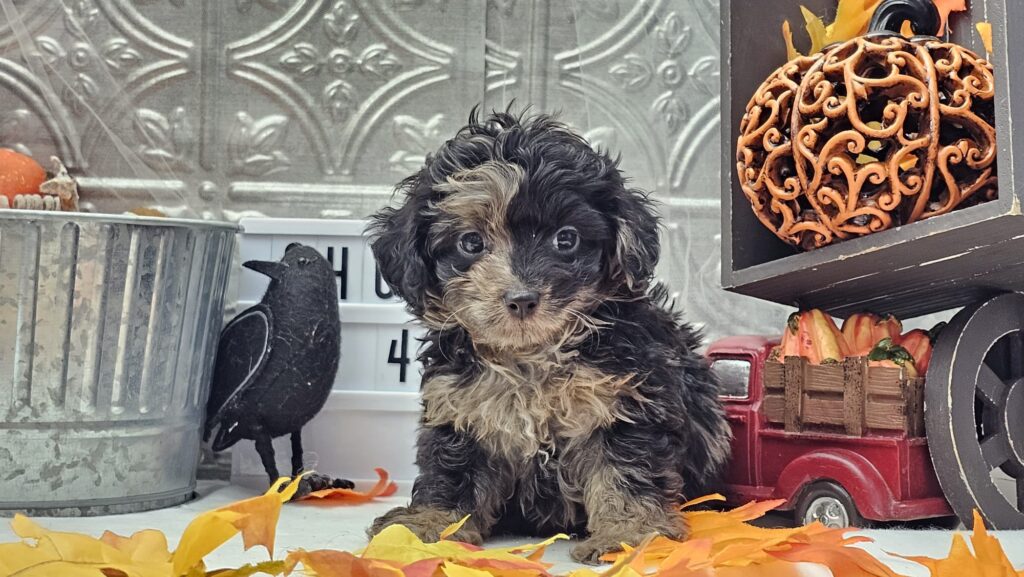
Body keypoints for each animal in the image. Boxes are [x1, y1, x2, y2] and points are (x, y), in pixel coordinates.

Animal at [364, 109, 733, 565]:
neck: (532, 355)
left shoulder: (626, 400)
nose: (521, 298)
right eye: (471, 242)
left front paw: (627, 533)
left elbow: (625, 469)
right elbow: (452, 469)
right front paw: (428, 525)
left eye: (566, 238)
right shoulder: (459, 404)